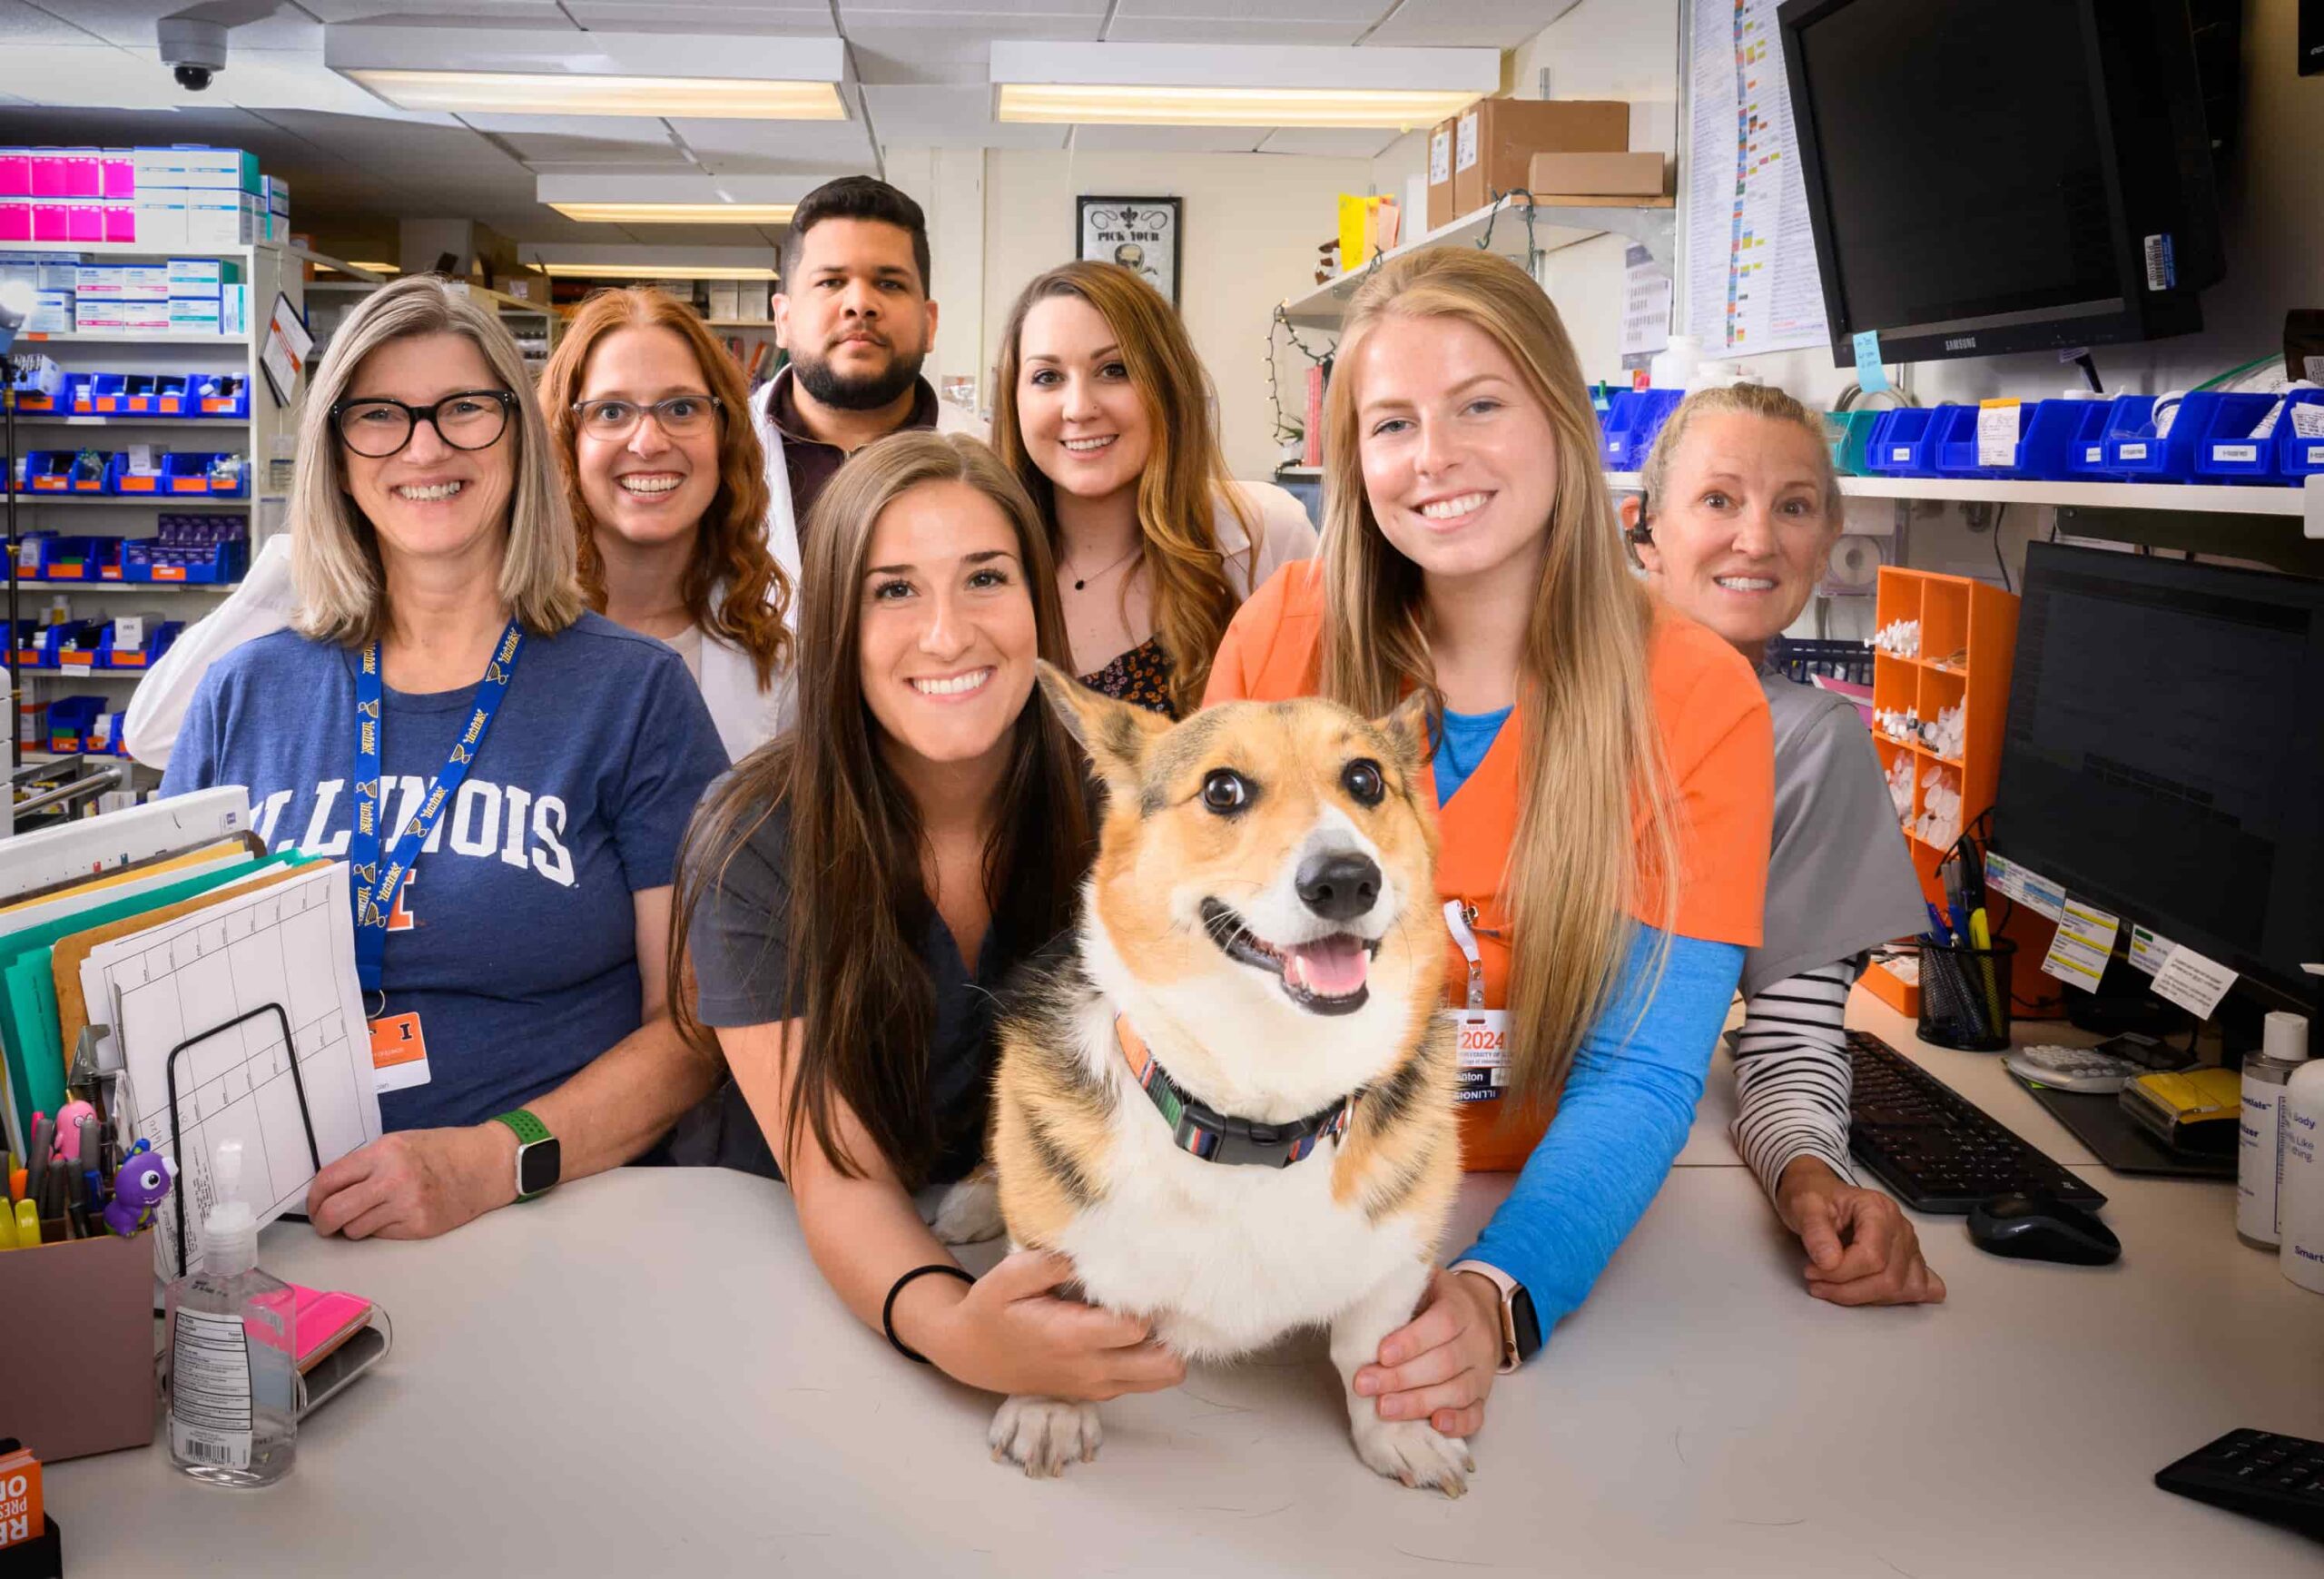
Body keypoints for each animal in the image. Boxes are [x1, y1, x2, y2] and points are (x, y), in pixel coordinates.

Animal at [980, 665, 1468, 1497]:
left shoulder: (1398, 1258)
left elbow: (1370, 1349)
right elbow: (1049, 1319)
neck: (1256, 1119)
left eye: (1365, 779)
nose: (1346, 880)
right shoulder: (1047, 1242)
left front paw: (1399, 1432)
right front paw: (1050, 1404)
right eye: (1222, 790)